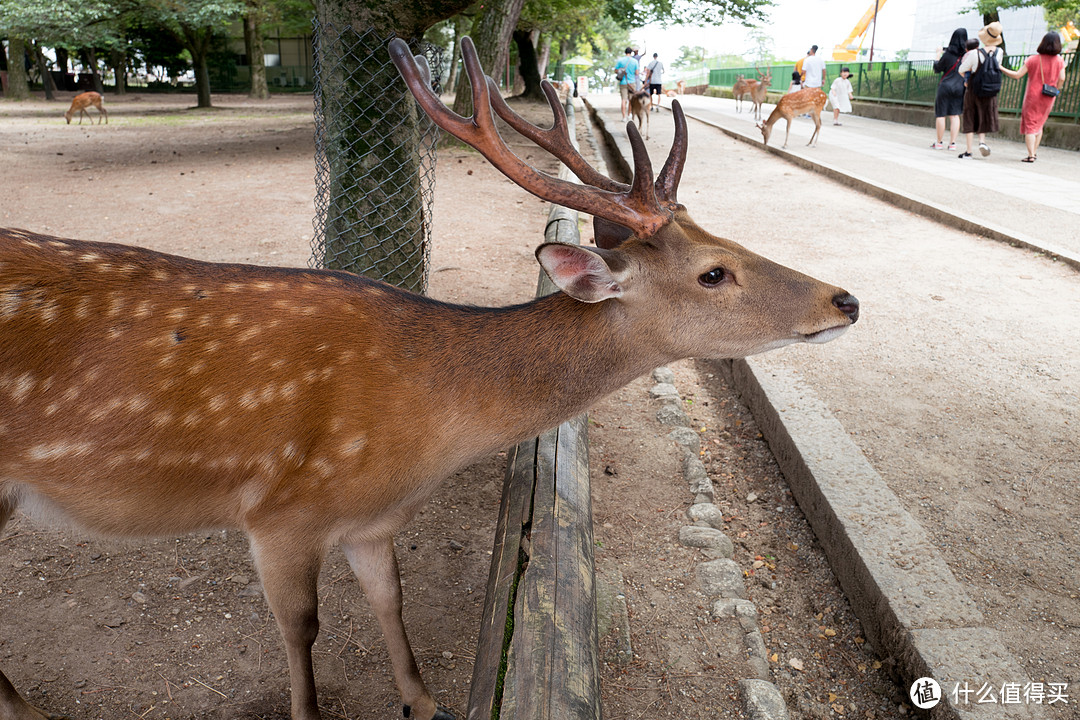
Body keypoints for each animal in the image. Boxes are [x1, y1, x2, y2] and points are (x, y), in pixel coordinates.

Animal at [0, 36, 859, 720]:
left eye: (728, 236)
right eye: (715, 272)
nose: (844, 299)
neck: (422, 434)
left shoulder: (371, 519)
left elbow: (392, 597)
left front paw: (424, 701)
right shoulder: (277, 512)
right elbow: (300, 630)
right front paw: (311, 711)